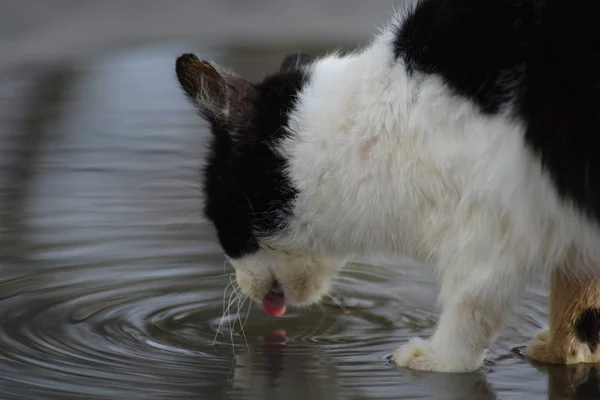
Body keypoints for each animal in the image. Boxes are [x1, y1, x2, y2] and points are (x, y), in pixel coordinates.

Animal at [173, 0, 600, 374]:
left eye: (218, 214)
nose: (243, 289)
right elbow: (579, 288)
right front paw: (565, 350)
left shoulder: (493, 216)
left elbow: (474, 297)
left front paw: (440, 358)